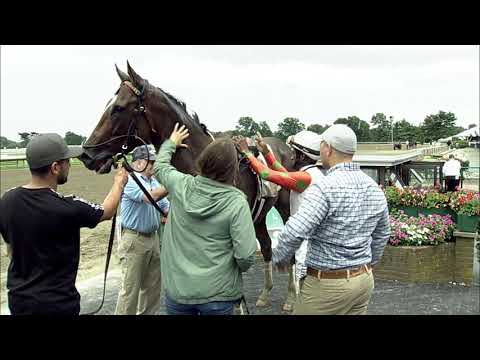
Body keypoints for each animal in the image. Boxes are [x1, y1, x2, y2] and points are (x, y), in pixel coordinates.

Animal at [79, 62, 298, 310]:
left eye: (119, 108)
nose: (86, 154)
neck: (202, 164)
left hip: (284, 206)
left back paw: (291, 297)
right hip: (259, 216)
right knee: (267, 246)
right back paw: (264, 294)